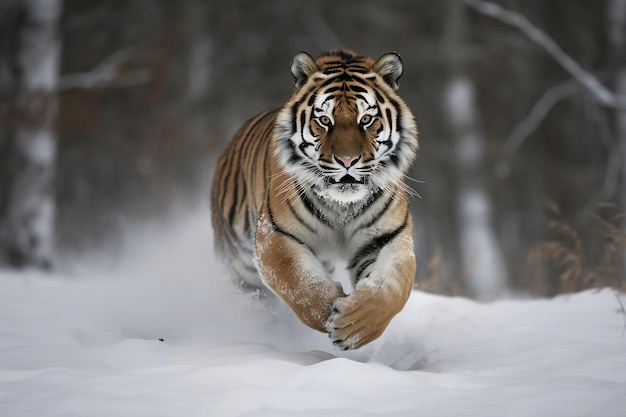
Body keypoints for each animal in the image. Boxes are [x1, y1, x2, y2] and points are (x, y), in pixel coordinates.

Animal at [211, 48, 420, 348]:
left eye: (366, 120)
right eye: (324, 120)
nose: (347, 161)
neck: (342, 205)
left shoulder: (387, 239)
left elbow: (389, 290)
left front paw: (353, 325)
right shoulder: (274, 235)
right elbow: (299, 281)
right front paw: (328, 312)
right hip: (239, 265)